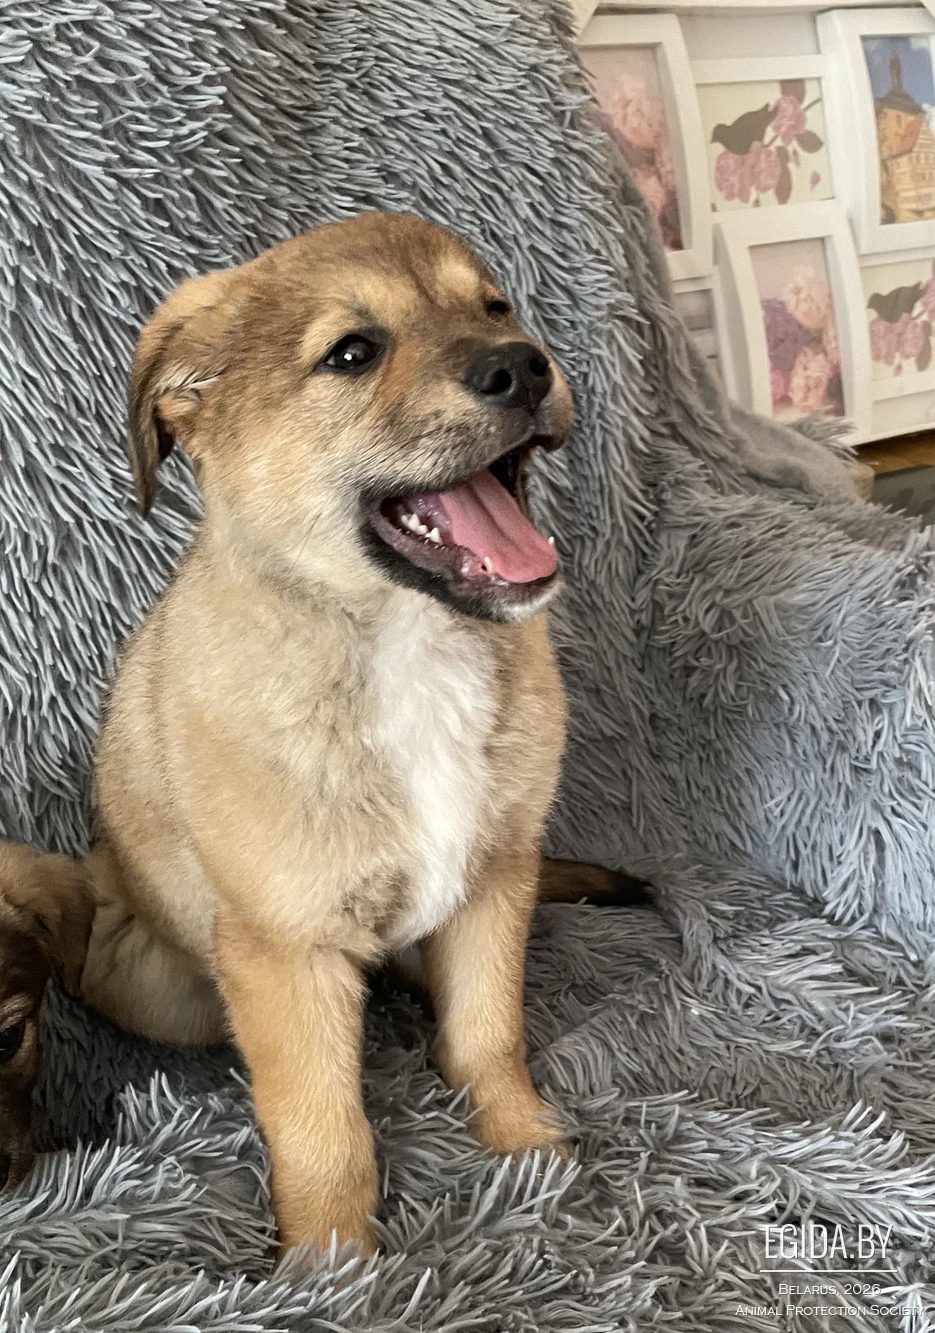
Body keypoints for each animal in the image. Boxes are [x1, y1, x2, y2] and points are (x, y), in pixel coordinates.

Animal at [41, 209, 574, 1255]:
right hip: (161, 978)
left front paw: (527, 1149)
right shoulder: (282, 951)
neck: (405, 646)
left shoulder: (497, 880)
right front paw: (334, 1262)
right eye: (353, 353)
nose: (524, 366)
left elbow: (489, 1033)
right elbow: (321, 1123)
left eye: (494, 307)